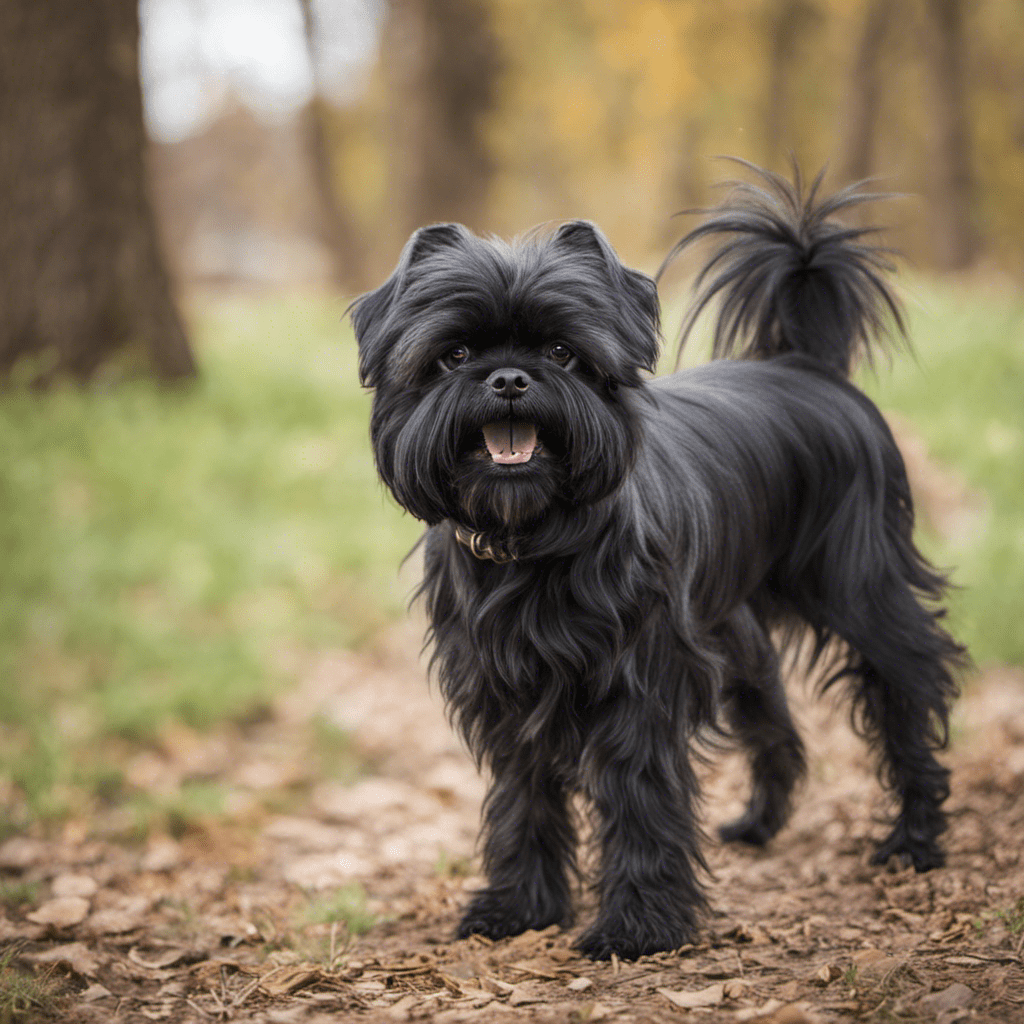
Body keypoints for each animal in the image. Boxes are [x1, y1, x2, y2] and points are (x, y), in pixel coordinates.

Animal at [348, 165, 962, 958]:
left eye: (560, 353)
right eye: (455, 355)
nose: (508, 378)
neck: (532, 539)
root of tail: (806, 366)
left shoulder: (640, 684)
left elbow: (639, 796)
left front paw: (638, 923)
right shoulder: (505, 690)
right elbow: (522, 799)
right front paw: (520, 907)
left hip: (864, 593)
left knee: (908, 693)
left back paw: (915, 839)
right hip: (732, 625)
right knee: (774, 716)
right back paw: (759, 823)